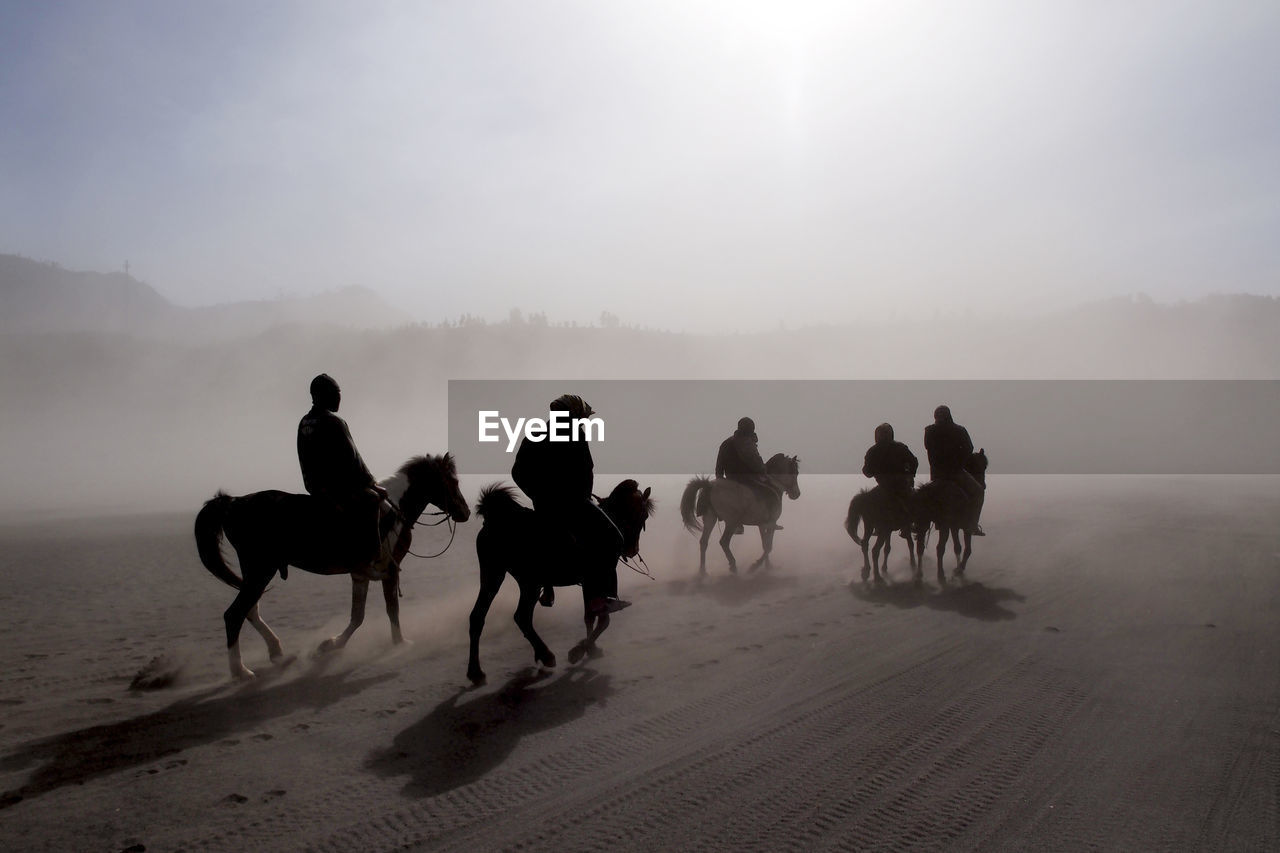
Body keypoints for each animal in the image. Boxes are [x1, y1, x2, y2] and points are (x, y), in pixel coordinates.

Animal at [192, 450, 468, 676]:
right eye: (453, 481)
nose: (464, 512)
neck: (394, 508)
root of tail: (234, 502)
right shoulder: (389, 570)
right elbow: (391, 609)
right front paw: (400, 644)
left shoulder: (361, 573)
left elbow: (358, 616)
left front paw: (329, 645)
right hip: (261, 569)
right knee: (235, 614)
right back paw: (240, 671)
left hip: (255, 572)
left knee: (250, 610)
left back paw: (277, 653)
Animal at [465, 479, 655, 686]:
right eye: (644, 515)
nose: (632, 550)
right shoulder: (597, 578)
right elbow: (603, 619)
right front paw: (579, 651)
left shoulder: (588, 583)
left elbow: (590, 616)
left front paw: (591, 648)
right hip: (528, 581)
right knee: (521, 616)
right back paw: (545, 654)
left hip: (497, 575)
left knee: (480, 617)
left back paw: (476, 671)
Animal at [911, 448, 988, 581]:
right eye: (984, 465)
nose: (984, 485)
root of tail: (929, 491)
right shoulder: (965, 528)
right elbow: (967, 549)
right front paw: (960, 568)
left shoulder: (954, 527)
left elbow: (957, 547)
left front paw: (958, 567)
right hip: (944, 526)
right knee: (940, 548)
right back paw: (940, 574)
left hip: (924, 522)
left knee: (920, 547)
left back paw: (919, 573)